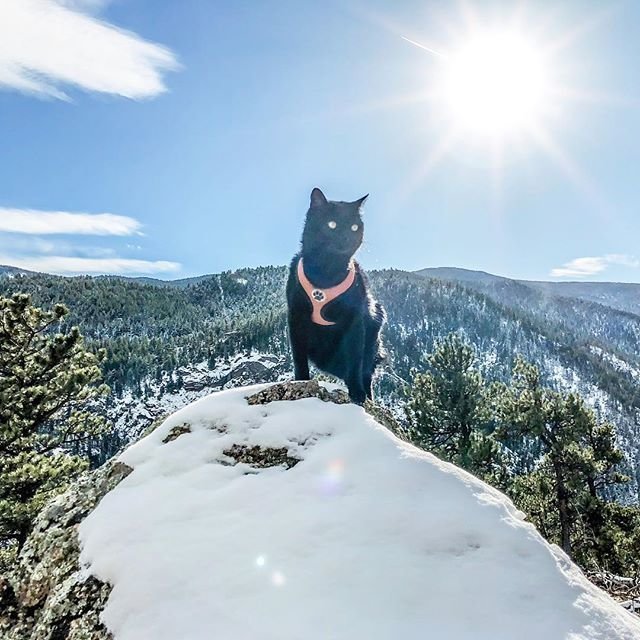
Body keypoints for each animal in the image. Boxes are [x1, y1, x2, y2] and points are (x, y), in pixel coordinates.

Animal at [288, 188, 388, 402]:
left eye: (354, 227)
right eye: (332, 224)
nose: (346, 238)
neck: (327, 273)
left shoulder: (355, 321)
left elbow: (355, 360)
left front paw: (357, 394)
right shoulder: (296, 317)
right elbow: (298, 357)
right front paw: (300, 383)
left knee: (365, 371)